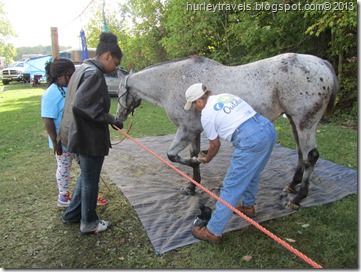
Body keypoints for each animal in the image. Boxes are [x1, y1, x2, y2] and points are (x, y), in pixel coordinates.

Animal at [116, 53, 338, 210]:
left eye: (119, 92)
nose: (118, 120)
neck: (173, 82)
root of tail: (321, 63)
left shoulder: (186, 130)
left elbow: (173, 155)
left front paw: (198, 164)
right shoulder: (195, 131)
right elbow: (191, 154)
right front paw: (192, 186)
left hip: (305, 123)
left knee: (311, 157)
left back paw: (298, 198)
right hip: (293, 122)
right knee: (301, 154)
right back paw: (292, 186)